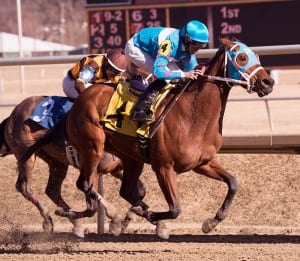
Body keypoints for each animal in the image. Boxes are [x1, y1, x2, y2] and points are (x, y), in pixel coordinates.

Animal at [0, 95, 144, 236]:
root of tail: (13, 114)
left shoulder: (117, 169)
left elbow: (141, 191)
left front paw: (139, 215)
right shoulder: (95, 171)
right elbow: (93, 203)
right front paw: (115, 219)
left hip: (56, 161)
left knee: (52, 190)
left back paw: (73, 222)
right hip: (27, 155)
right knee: (24, 187)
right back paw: (48, 220)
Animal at [21, 38, 274, 238]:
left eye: (257, 56)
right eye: (242, 57)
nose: (268, 82)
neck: (193, 114)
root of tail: (79, 100)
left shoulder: (202, 163)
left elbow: (233, 183)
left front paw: (211, 222)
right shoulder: (163, 167)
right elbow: (175, 209)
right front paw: (151, 216)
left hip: (131, 158)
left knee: (125, 190)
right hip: (92, 148)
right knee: (84, 184)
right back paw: (80, 214)